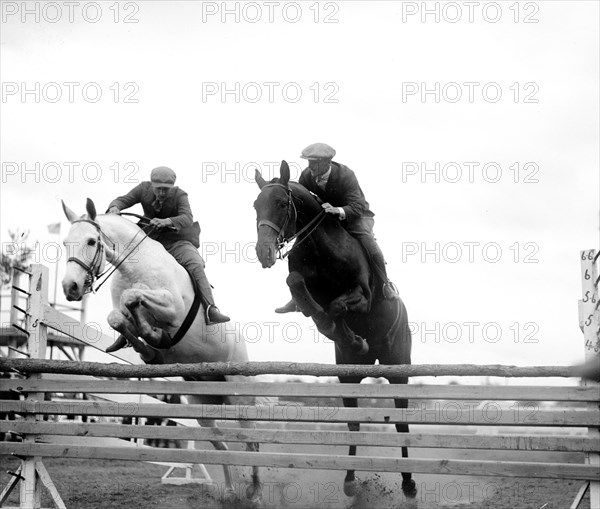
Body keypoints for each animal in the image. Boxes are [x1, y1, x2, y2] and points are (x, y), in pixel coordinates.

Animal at [60, 198, 262, 504]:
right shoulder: (125, 311)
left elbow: (133, 298)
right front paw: (150, 347)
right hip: (202, 403)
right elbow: (119, 317)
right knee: (220, 443)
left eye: (92, 241)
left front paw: (155, 336)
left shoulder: (172, 308)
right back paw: (229, 491)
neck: (133, 267)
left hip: (240, 395)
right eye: (64, 243)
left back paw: (256, 492)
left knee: (251, 442)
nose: (69, 287)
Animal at [253, 162, 418, 496]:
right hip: (348, 375)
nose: (263, 252)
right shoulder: (302, 282)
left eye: (282, 203)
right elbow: (298, 286)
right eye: (255, 205)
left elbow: (336, 308)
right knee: (353, 422)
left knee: (401, 422)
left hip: (399, 369)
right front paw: (343, 333)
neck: (321, 249)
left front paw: (344, 331)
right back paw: (350, 480)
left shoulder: (362, 296)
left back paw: (408, 483)